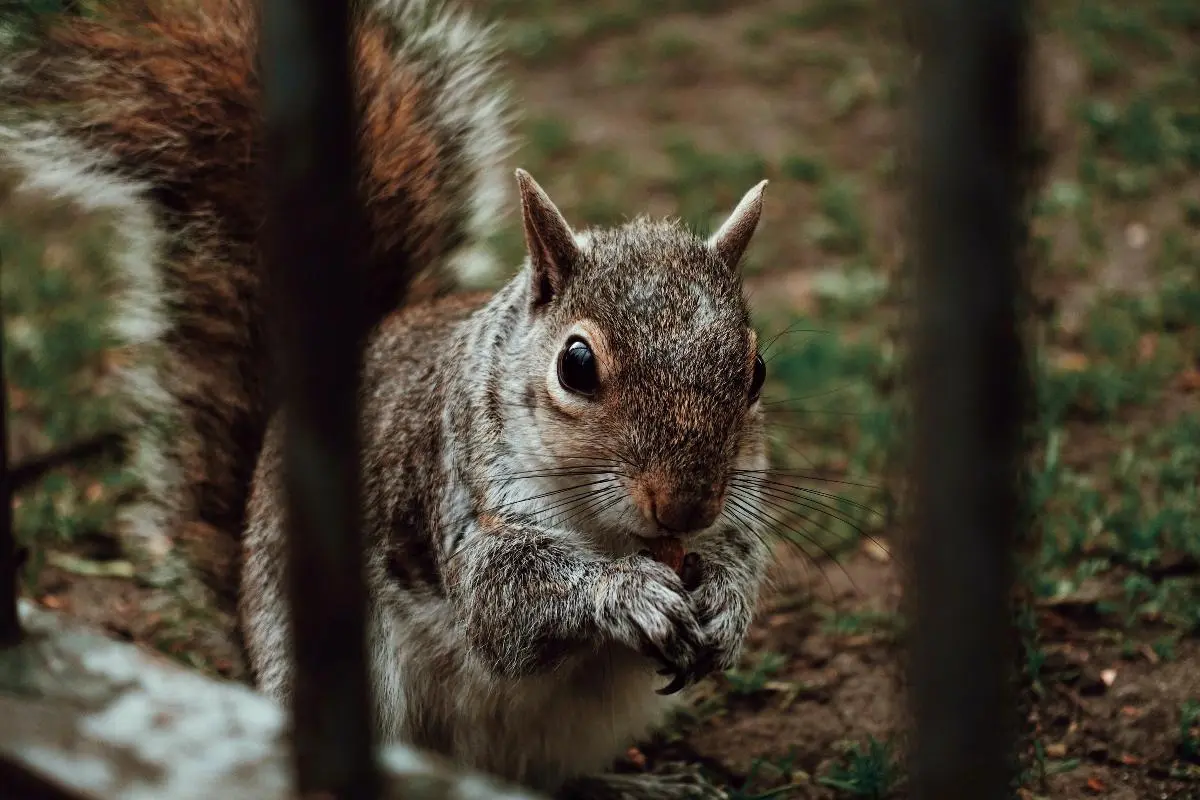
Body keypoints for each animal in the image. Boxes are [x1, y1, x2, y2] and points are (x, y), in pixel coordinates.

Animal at [0, 1, 772, 800]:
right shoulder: (460, 493)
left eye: (756, 370)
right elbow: (503, 606)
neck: (613, 531)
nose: (685, 505)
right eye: (576, 365)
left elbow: (741, 557)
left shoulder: (738, 509)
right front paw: (628, 594)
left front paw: (725, 607)